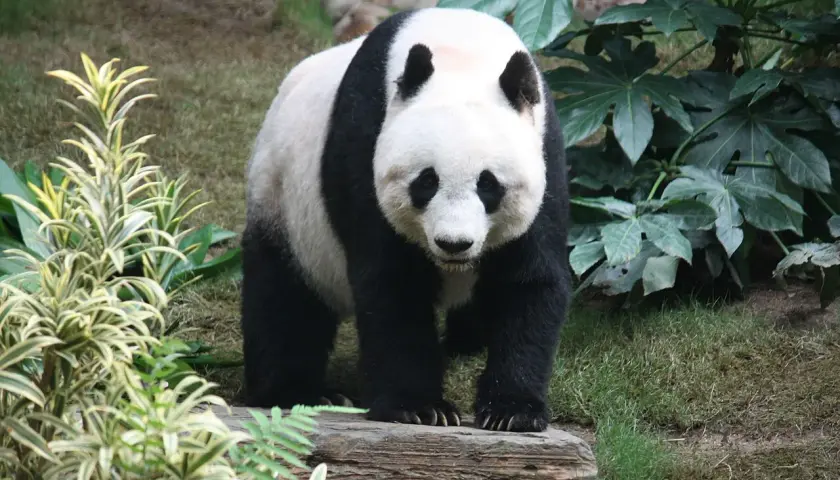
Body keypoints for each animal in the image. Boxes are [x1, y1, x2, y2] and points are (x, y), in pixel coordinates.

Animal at [241, 6, 571, 432]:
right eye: (426, 182)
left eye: (489, 185)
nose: (454, 243)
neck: (461, 52)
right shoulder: (364, 140)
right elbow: (393, 282)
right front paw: (418, 407)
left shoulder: (546, 153)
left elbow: (528, 281)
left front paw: (511, 410)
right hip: (284, 200)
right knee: (284, 297)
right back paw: (299, 392)